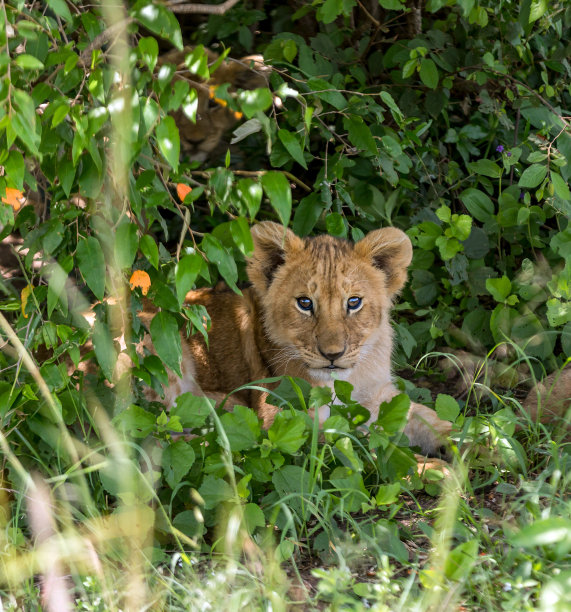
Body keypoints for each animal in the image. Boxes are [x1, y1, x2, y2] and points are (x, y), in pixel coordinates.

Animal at [144, 222, 456, 456]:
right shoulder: (288, 422)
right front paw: (435, 470)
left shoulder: (381, 396)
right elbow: (364, 445)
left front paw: (465, 450)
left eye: (353, 302)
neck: (347, 381)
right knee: (154, 441)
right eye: (305, 303)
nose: (333, 355)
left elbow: (427, 418)